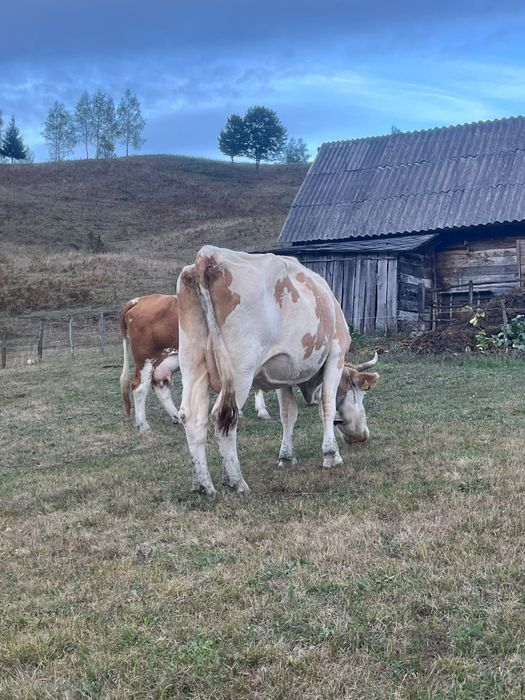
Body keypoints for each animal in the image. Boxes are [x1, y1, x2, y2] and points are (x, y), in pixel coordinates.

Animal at [119, 293, 271, 433]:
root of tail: (138, 300)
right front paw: (259, 410)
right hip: (146, 360)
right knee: (139, 388)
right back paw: (144, 425)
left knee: (160, 386)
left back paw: (175, 417)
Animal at [176, 245, 380, 496]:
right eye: (361, 394)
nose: (363, 436)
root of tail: (210, 254)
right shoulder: (336, 354)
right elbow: (327, 405)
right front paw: (331, 455)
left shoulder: (284, 371)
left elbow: (288, 414)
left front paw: (286, 457)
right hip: (240, 371)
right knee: (222, 416)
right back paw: (237, 482)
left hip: (192, 365)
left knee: (191, 418)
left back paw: (203, 485)